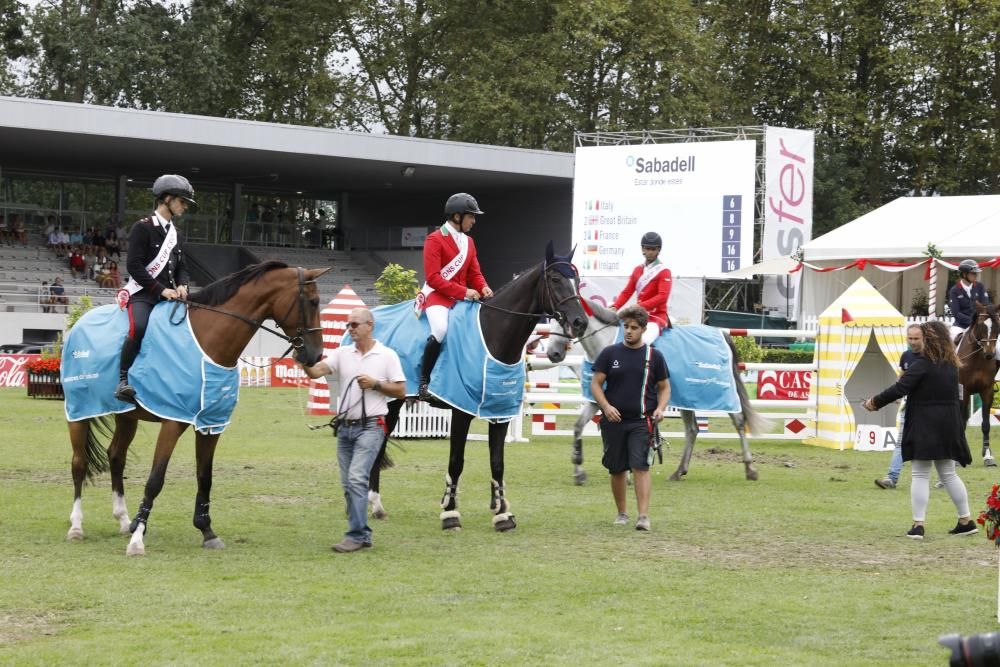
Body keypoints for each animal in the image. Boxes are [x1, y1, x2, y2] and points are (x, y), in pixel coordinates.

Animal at [63, 264, 328, 556]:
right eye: (313, 302)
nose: (316, 356)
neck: (207, 342)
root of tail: (80, 323)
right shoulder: (172, 422)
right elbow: (155, 479)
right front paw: (138, 538)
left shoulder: (211, 424)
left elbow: (205, 476)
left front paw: (206, 531)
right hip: (78, 411)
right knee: (79, 464)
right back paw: (76, 526)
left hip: (126, 416)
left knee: (116, 457)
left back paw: (123, 520)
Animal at [366, 243, 584, 528]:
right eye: (556, 279)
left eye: (577, 280)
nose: (580, 322)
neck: (493, 335)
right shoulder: (461, 411)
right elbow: (456, 462)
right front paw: (450, 513)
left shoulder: (500, 412)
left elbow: (498, 462)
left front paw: (502, 514)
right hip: (390, 404)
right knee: (377, 445)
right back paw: (375, 504)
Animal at [544, 300, 768, 482]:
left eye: (566, 322)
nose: (552, 353)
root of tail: (720, 333)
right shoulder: (598, 401)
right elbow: (578, 427)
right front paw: (579, 472)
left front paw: (627, 474)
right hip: (687, 398)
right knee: (692, 430)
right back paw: (679, 471)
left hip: (719, 395)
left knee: (738, 421)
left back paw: (750, 469)